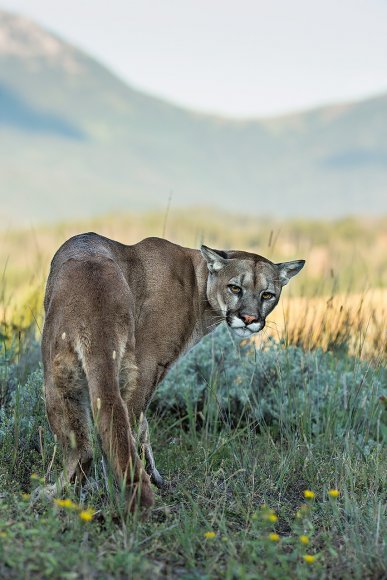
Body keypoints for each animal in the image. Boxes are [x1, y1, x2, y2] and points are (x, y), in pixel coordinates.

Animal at [41, 233, 304, 510]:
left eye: (267, 294)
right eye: (235, 288)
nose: (249, 318)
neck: (199, 282)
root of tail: (96, 309)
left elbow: (141, 428)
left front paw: (154, 477)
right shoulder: (150, 364)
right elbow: (140, 426)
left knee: (87, 449)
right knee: (104, 440)